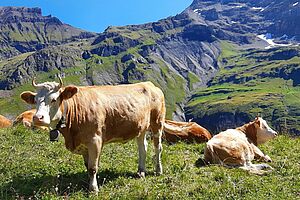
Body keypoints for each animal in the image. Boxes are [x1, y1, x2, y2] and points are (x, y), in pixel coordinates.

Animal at [20, 77, 166, 192]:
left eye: (54, 99)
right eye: (35, 100)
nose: (38, 118)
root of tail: (149, 84)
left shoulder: (95, 140)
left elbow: (92, 167)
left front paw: (93, 188)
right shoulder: (83, 144)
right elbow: (87, 166)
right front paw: (88, 182)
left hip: (157, 122)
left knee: (157, 147)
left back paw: (158, 171)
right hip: (141, 128)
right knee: (143, 147)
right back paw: (141, 172)